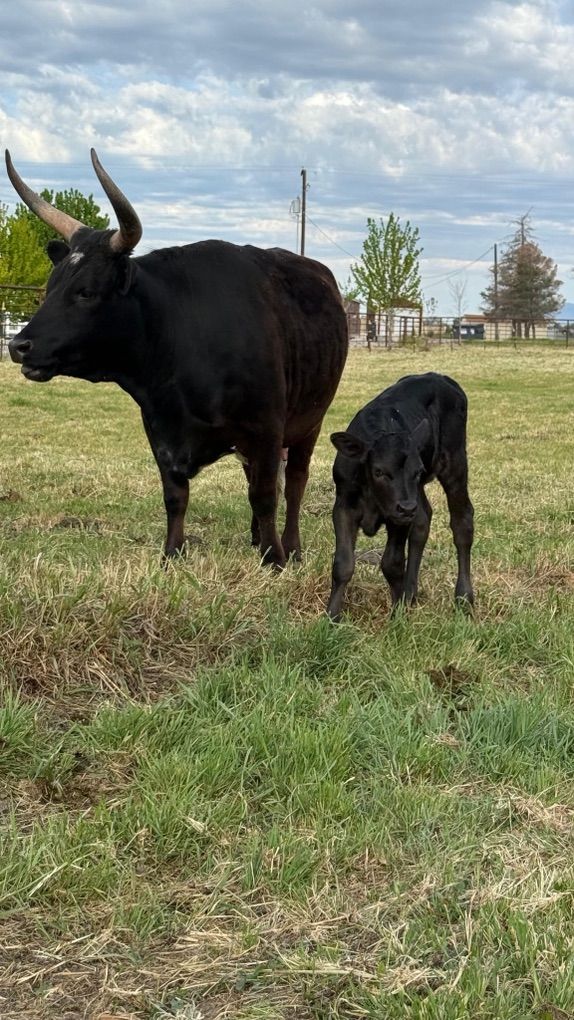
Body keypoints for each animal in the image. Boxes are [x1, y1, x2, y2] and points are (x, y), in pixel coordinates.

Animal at [5, 150, 348, 568]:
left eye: (85, 291)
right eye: (51, 286)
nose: (19, 345)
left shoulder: (267, 426)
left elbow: (266, 494)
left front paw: (274, 559)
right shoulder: (159, 431)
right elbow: (176, 496)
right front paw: (172, 554)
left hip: (309, 421)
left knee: (295, 482)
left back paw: (291, 547)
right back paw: (255, 539)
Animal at [326, 372, 474, 620]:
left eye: (418, 471)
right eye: (379, 471)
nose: (406, 508)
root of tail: (439, 376)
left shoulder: (398, 516)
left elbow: (392, 564)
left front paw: (397, 614)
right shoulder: (344, 505)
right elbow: (343, 564)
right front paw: (331, 616)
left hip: (454, 464)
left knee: (462, 522)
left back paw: (464, 597)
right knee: (423, 519)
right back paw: (410, 592)